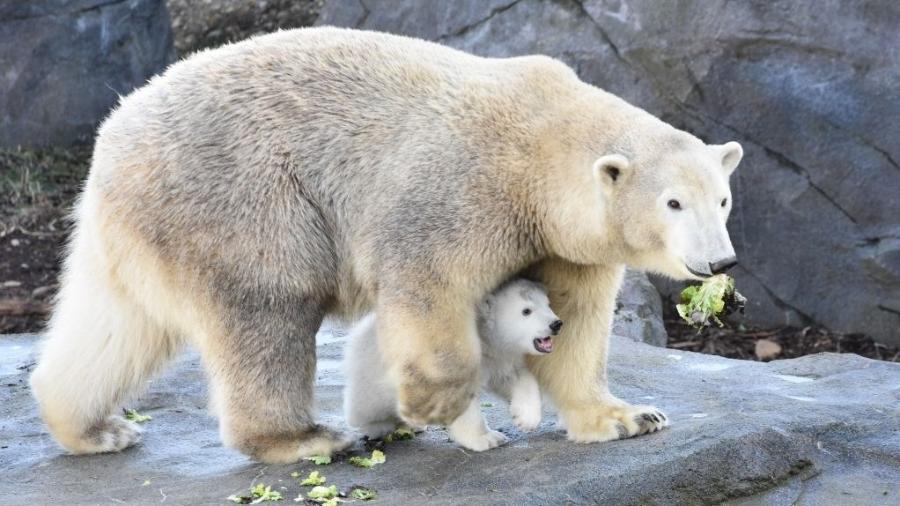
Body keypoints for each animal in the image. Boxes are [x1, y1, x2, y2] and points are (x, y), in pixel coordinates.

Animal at [31, 26, 740, 462]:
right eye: (673, 202)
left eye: (723, 198)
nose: (720, 260)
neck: (541, 146)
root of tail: (112, 137)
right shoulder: (463, 189)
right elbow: (429, 282)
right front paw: (429, 404)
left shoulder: (564, 238)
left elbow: (575, 317)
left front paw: (627, 417)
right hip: (242, 199)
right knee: (269, 308)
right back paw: (307, 437)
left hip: (140, 224)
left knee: (116, 324)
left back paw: (94, 428)